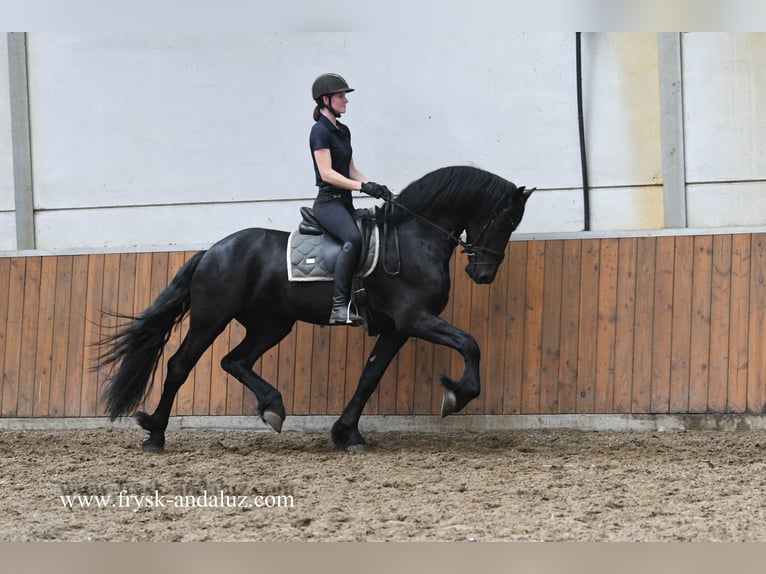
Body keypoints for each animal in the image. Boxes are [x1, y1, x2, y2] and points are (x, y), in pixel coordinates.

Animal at [100, 166, 536, 454]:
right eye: (505, 221)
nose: (483, 274)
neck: (415, 237)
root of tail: (212, 251)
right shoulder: (416, 319)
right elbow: (470, 344)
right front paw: (456, 396)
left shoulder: (398, 328)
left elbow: (369, 376)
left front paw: (348, 434)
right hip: (212, 318)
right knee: (180, 366)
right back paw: (156, 435)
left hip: (272, 324)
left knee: (234, 361)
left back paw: (273, 408)